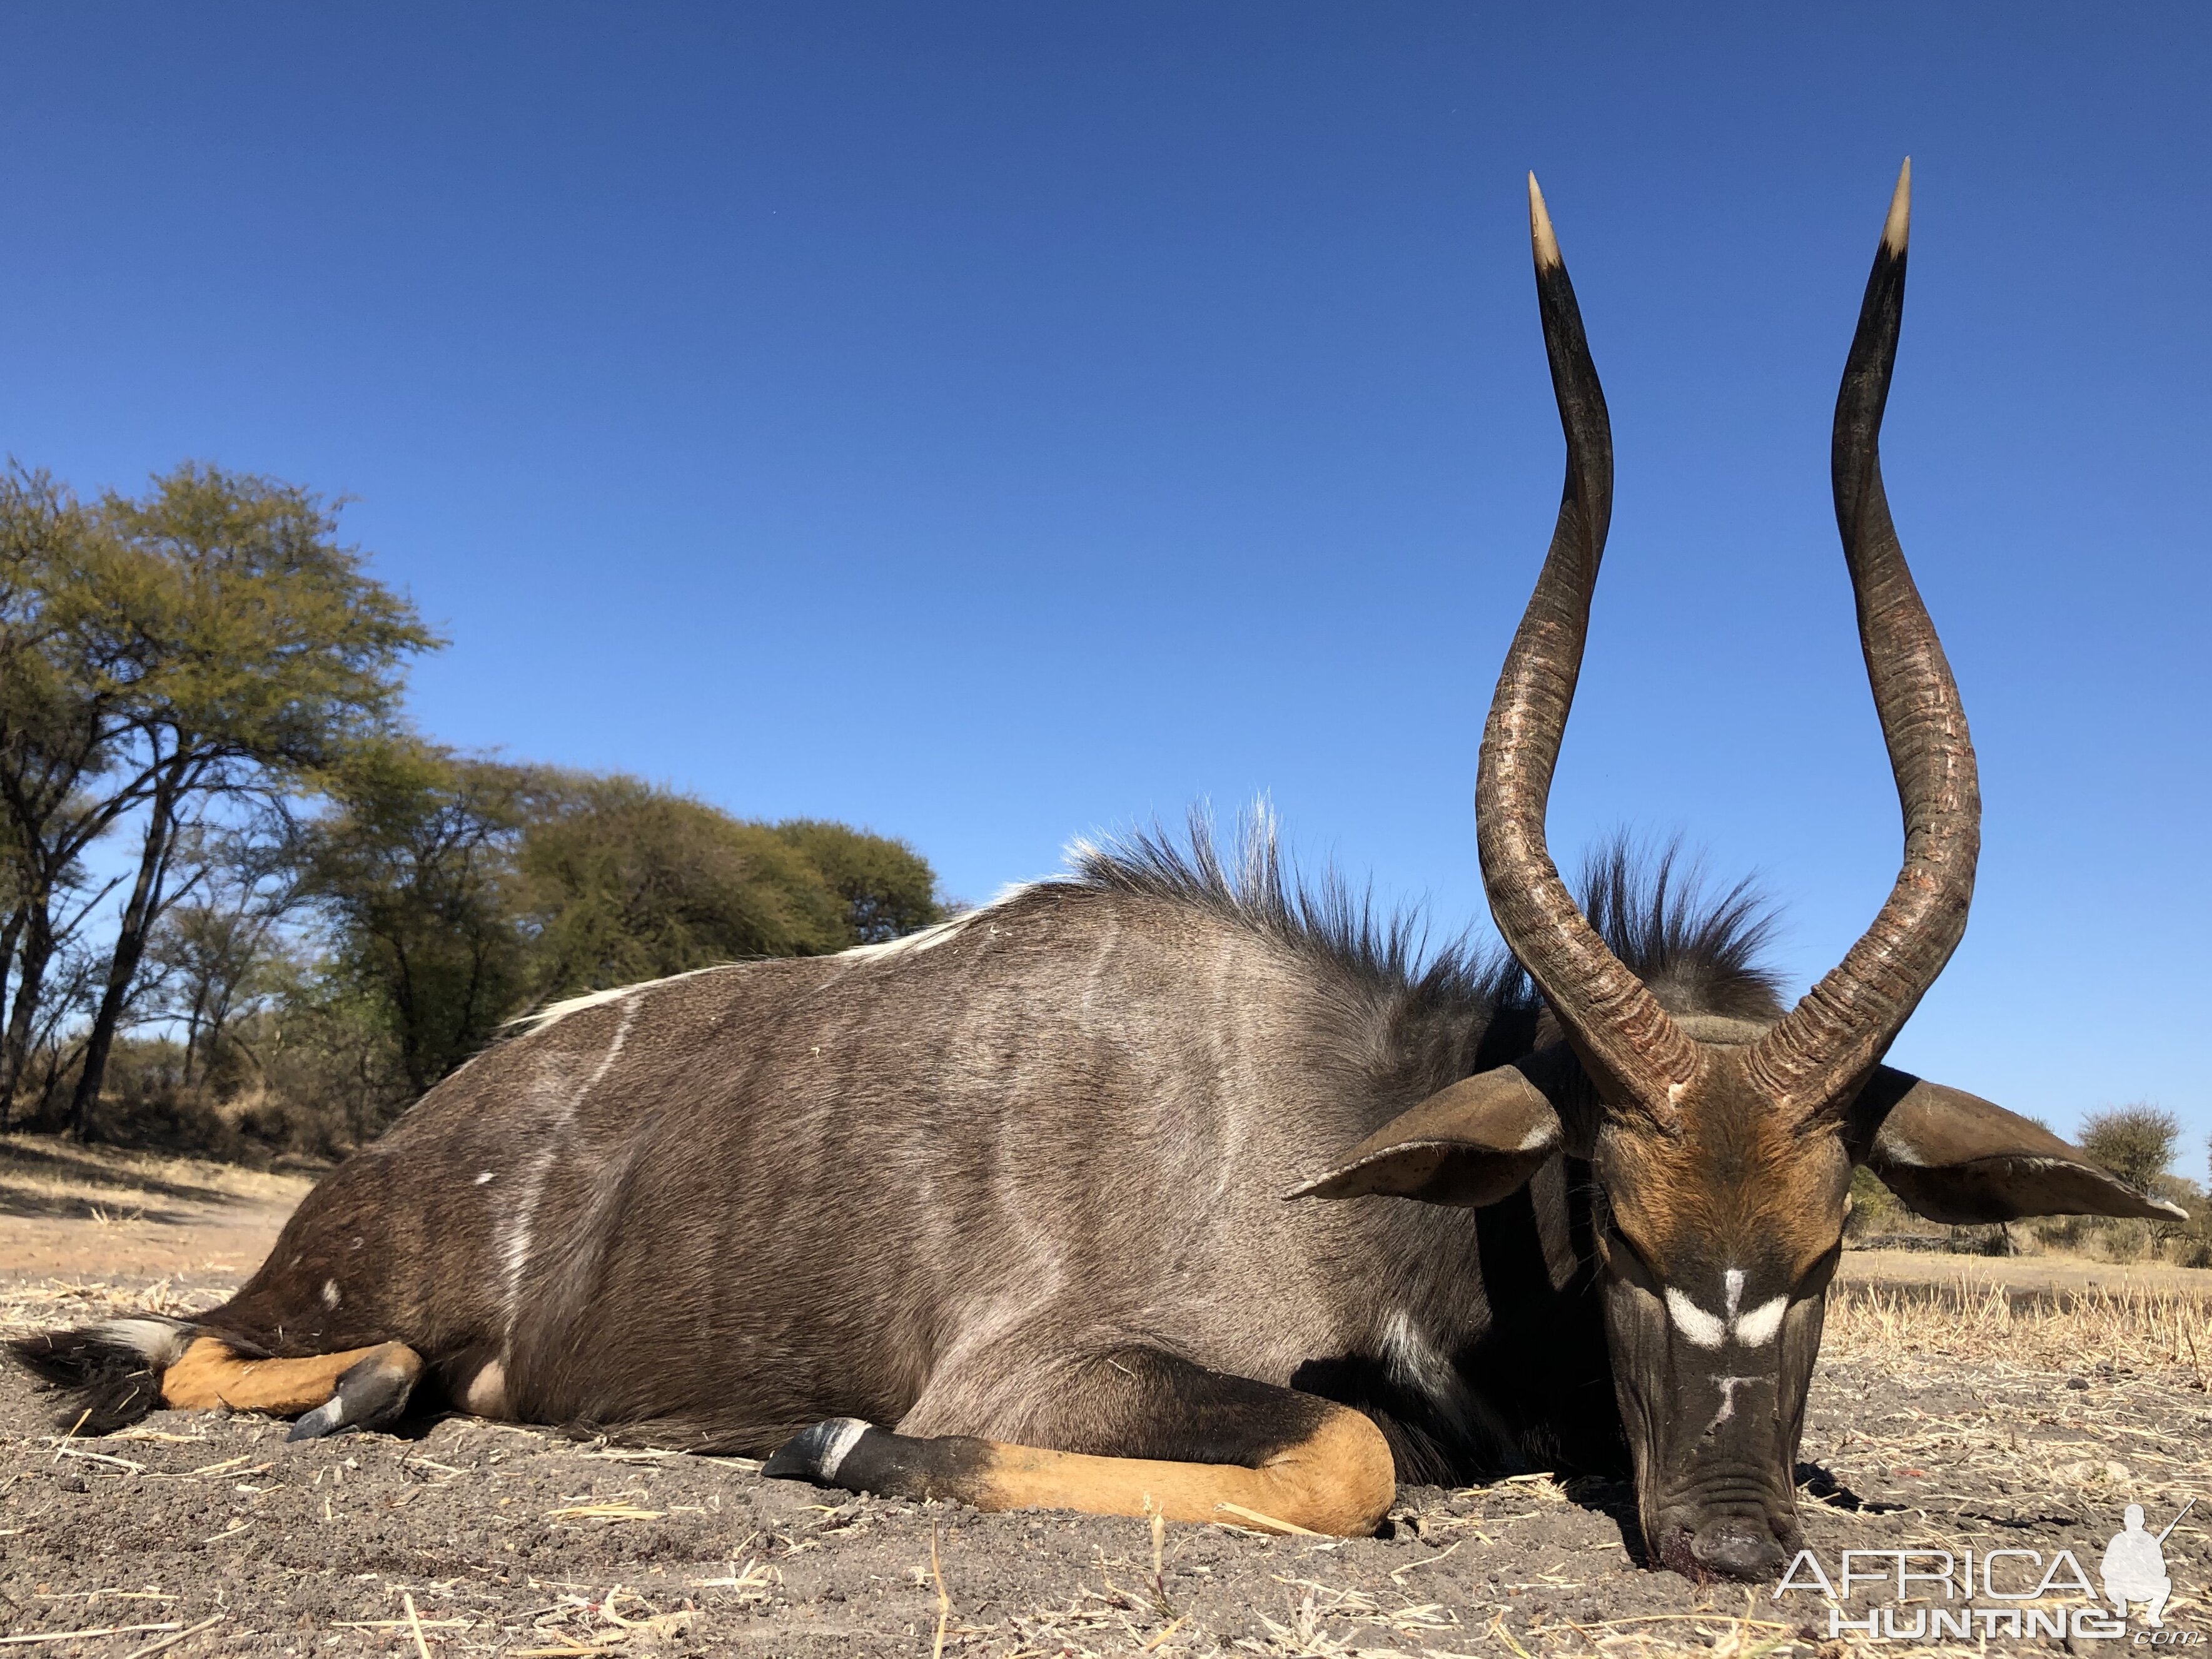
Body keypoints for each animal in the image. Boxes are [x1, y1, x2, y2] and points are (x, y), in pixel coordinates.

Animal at [8, 166, 2168, 1583]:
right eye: (1616, 1227)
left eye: (1828, 1249)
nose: (1725, 1541)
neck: (1341, 1125)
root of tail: (435, 1116)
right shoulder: (1056, 1365)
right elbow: (1344, 1453)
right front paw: (841, 1440)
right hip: (328, 1286)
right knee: (208, 1347)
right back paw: (350, 1383)